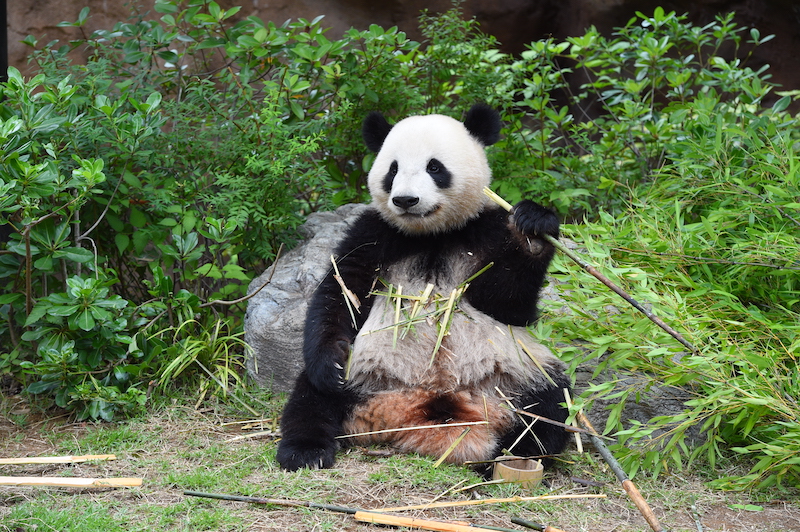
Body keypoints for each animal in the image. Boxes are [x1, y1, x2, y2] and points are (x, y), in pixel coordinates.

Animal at [278, 103, 572, 470]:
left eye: (435, 167)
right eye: (392, 169)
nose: (405, 200)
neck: (431, 233)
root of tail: (426, 408)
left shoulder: (485, 230)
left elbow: (507, 305)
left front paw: (533, 228)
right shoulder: (373, 233)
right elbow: (342, 292)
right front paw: (330, 364)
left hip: (515, 373)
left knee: (551, 405)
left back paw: (509, 453)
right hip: (363, 375)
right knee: (311, 397)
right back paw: (306, 450)